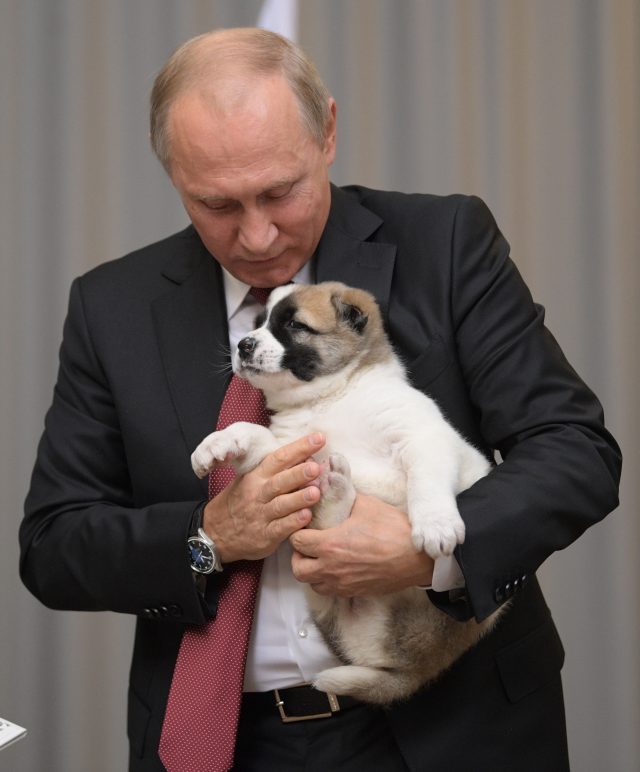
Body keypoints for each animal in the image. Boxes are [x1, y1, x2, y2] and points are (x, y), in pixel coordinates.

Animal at [192, 284, 502, 704]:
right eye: (260, 322)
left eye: (294, 325)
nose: (243, 344)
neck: (330, 399)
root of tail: (417, 669)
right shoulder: (290, 453)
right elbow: (251, 433)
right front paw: (217, 444)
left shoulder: (422, 437)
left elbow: (426, 481)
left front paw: (435, 525)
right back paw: (335, 490)